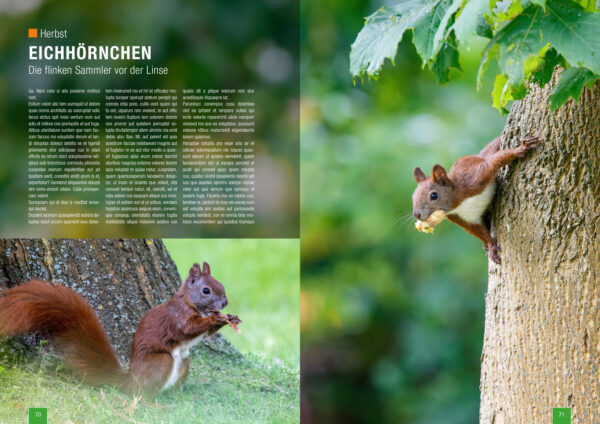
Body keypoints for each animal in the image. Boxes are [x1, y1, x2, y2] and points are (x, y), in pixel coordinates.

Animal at [0, 262, 241, 398]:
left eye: (221, 285)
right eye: (206, 290)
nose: (225, 302)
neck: (190, 303)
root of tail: (129, 382)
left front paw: (227, 319)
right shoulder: (176, 317)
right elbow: (187, 328)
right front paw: (215, 318)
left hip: (184, 362)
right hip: (160, 361)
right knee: (142, 396)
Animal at [412, 136, 544, 264]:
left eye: (433, 195)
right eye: (413, 197)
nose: (416, 214)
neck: (458, 203)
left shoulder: (473, 179)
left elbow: (492, 163)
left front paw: (520, 149)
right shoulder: (461, 218)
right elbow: (478, 230)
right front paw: (490, 246)